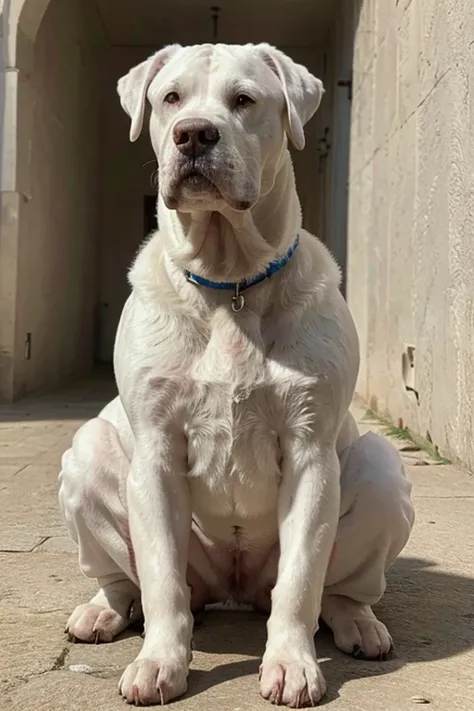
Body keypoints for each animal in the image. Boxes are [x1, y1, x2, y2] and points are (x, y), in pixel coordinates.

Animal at [59, 43, 414, 708]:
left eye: (244, 99)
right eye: (170, 98)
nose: (194, 134)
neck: (230, 283)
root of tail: (235, 587)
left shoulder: (309, 450)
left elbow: (300, 580)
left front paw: (292, 666)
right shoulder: (157, 451)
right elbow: (162, 580)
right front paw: (160, 664)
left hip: (380, 472)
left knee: (331, 585)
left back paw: (357, 622)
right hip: (92, 457)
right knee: (136, 579)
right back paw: (105, 609)